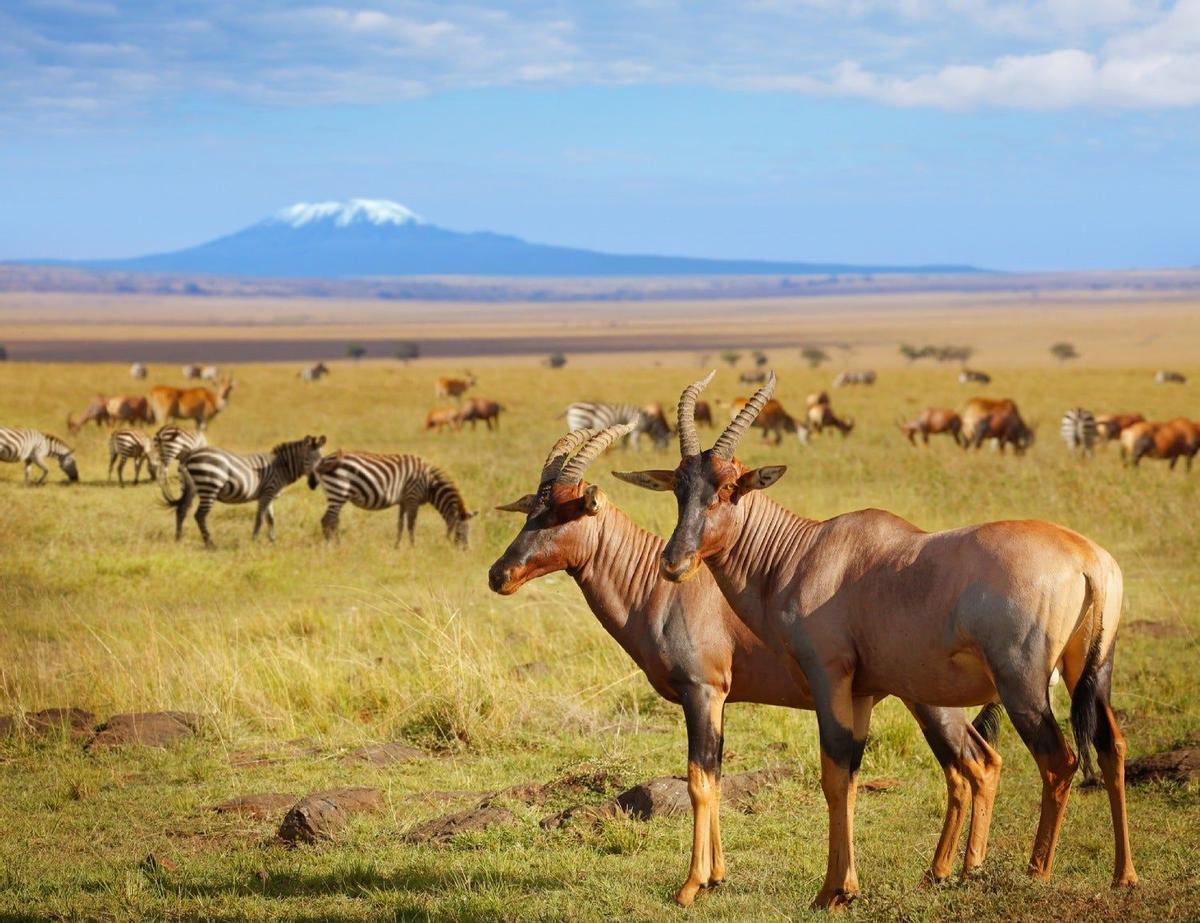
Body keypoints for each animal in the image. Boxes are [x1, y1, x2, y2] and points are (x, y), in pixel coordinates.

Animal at [164, 434, 326, 547]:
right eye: (306, 459)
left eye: (321, 460)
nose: (314, 483)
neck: (281, 466)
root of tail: (190, 454)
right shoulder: (268, 492)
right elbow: (260, 518)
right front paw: (254, 541)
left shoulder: (269, 495)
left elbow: (271, 519)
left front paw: (272, 541)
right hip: (210, 486)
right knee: (200, 515)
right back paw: (210, 543)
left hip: (190, 488)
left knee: (182, 510)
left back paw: (178, 539)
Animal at [307, 451, 475, 547]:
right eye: (461, 531)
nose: (465, 551)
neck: (429, 485)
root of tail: (323, 461)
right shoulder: (413, 498)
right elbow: (411, 525)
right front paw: (413, 547)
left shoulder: (403, 501)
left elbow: (400, 525)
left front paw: (397, 546)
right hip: (339, 490)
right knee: (328, 520)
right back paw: (332, 547)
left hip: (336, 493)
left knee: (333, 520)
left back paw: (335, 545)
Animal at [492, 427, 1008, 907]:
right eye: (532, 510)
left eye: (567, 511)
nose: (500, 575)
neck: (664, 588)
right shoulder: (720, 699)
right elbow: (715, 778)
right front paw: (717, 877)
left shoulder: (702, 691)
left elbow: (699, 780)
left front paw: (690, 886)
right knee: (967, 767)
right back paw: (940, 873)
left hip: (930, 700)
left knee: (976, 763)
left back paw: (961, 871)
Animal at [619, 369, 1132, 907]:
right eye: (679, 488)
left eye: (726, 488)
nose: (673, 563)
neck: (808, 551)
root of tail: (1088, 559)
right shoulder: (862, 691)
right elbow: (849, 777)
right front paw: (845, 887)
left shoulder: (829, 678)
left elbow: (832, 774)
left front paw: (828, 893)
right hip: (1092, 671)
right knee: (1111, 746)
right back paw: (1123, 876)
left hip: (1022, 685)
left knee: (1060, 761)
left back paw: (1036, 874)